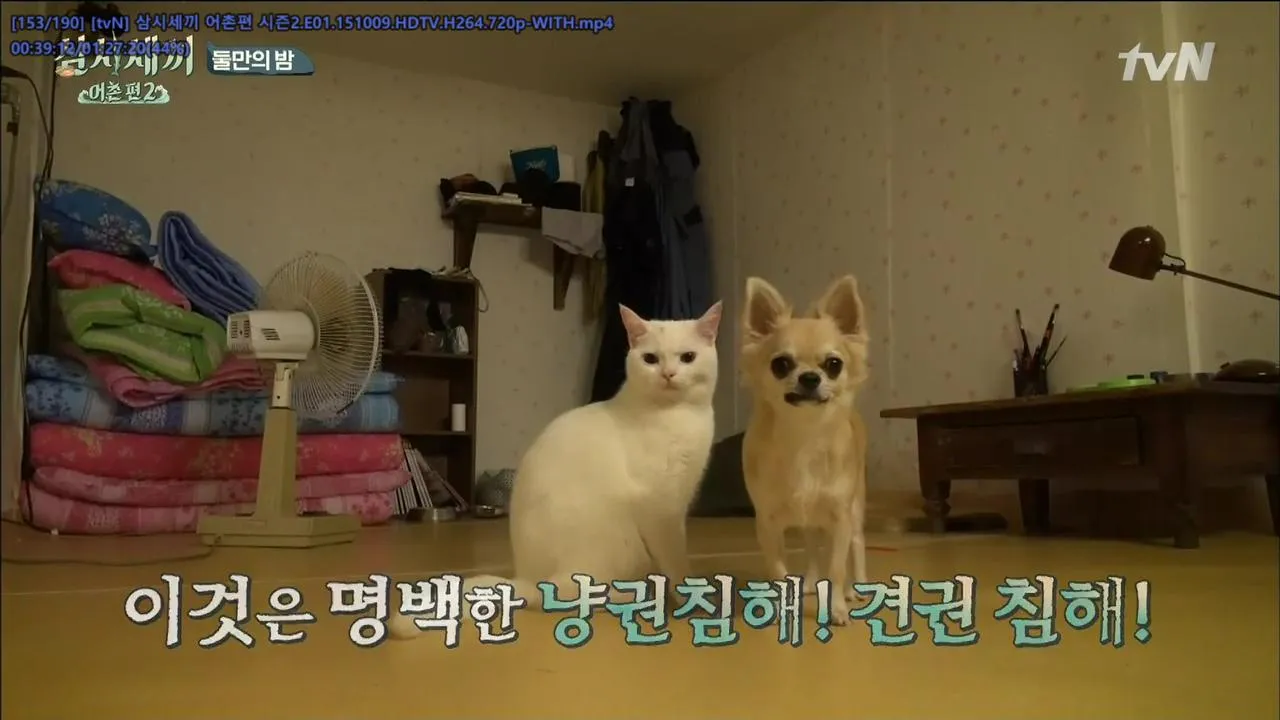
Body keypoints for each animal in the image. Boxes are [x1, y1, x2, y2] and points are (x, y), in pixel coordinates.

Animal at [389, 301, 723, 640]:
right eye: (650, 359)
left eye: (688, 357)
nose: (668, 374)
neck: (677, 415)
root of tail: (530, 582)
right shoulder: (661, 512)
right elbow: (676, 562)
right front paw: (693, 598)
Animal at [740, 275, 870, 624]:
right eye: (781, 364)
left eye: (834, 364)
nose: (810, 377)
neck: (803, 436)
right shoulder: (768, 523)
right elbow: (778, 571)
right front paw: (782, 607)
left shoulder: (840, 518)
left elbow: (837, 566)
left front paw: (836, 607)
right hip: (806, 521)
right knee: (812, 549)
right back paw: (811, 582)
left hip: (855, 510)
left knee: (857, 546)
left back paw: (857, 589)